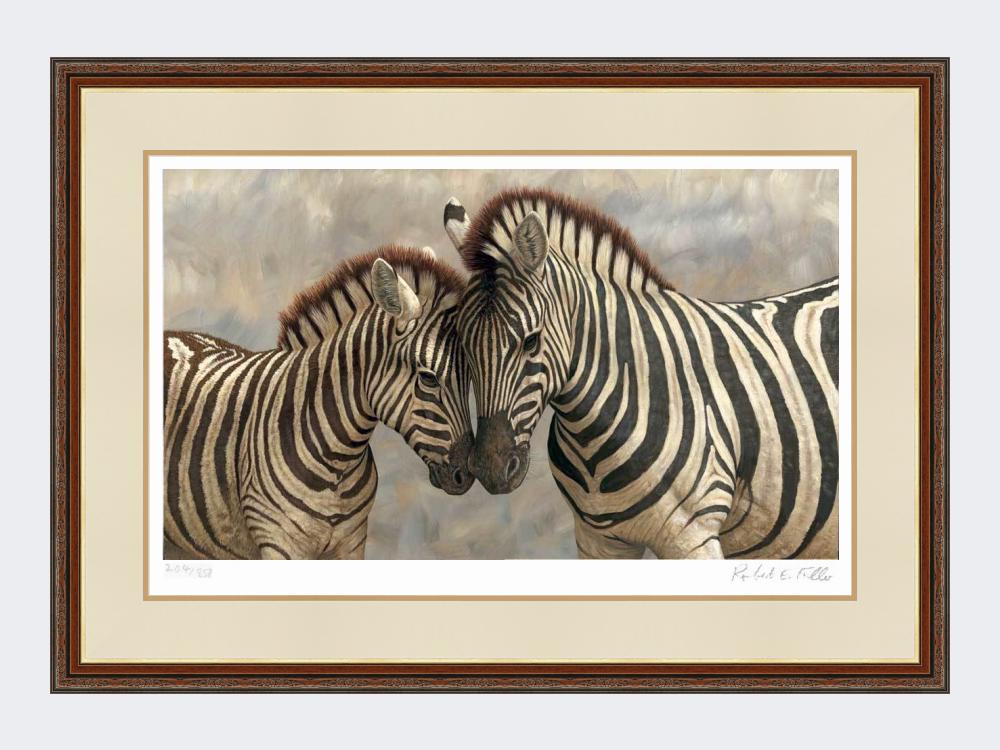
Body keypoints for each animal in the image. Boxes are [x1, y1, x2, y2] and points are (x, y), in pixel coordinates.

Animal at [163, 246, 474, 560]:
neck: (338, 462)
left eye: (471, 377)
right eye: (428, 378)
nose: (465, 476)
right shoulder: (279, 544)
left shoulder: (351, 544)